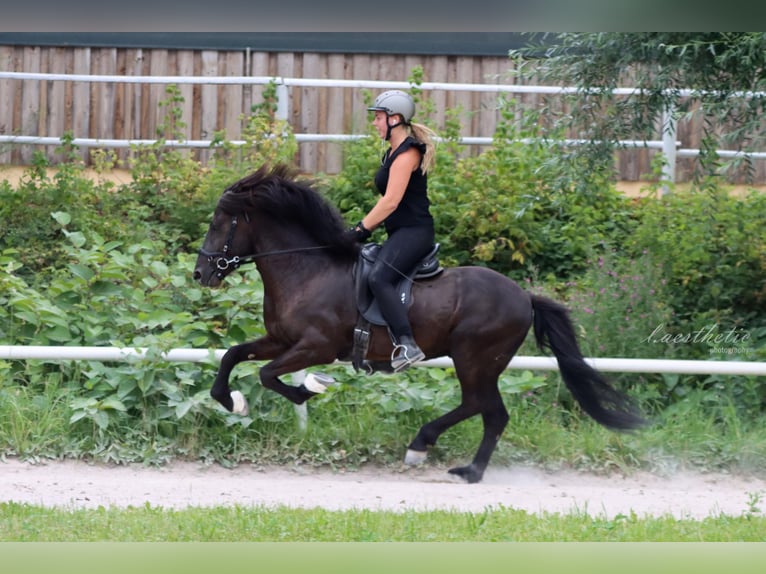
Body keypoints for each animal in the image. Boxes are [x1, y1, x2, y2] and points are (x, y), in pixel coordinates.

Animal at [193, 164, 645, 484]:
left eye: (218, 223)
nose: (201, 274)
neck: (307, 269)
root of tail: (524, 297)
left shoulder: (316, 346)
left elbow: (268, 374)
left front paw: (308, 391)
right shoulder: (279, 338)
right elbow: (233, 356)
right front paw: (233, 401)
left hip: (474, 358)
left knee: (481, 407)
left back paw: (430, 450)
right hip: (480, 363)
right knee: (491, 413)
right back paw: (467, 469)